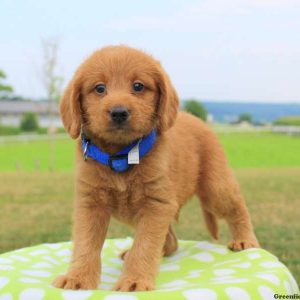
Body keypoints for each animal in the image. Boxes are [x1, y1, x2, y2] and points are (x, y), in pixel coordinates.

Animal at [52, 45, 258, 292]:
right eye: (99, 88)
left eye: (138, 86)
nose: (119, 112)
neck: (121, 156)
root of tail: (197, 119)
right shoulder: (90, 204)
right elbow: (85, 244)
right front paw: (78, 277)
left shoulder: (156, 204)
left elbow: (145, 245)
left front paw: (134, 280)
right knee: (171, 240)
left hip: (215, 189)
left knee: (237, 206)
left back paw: (245, 239)